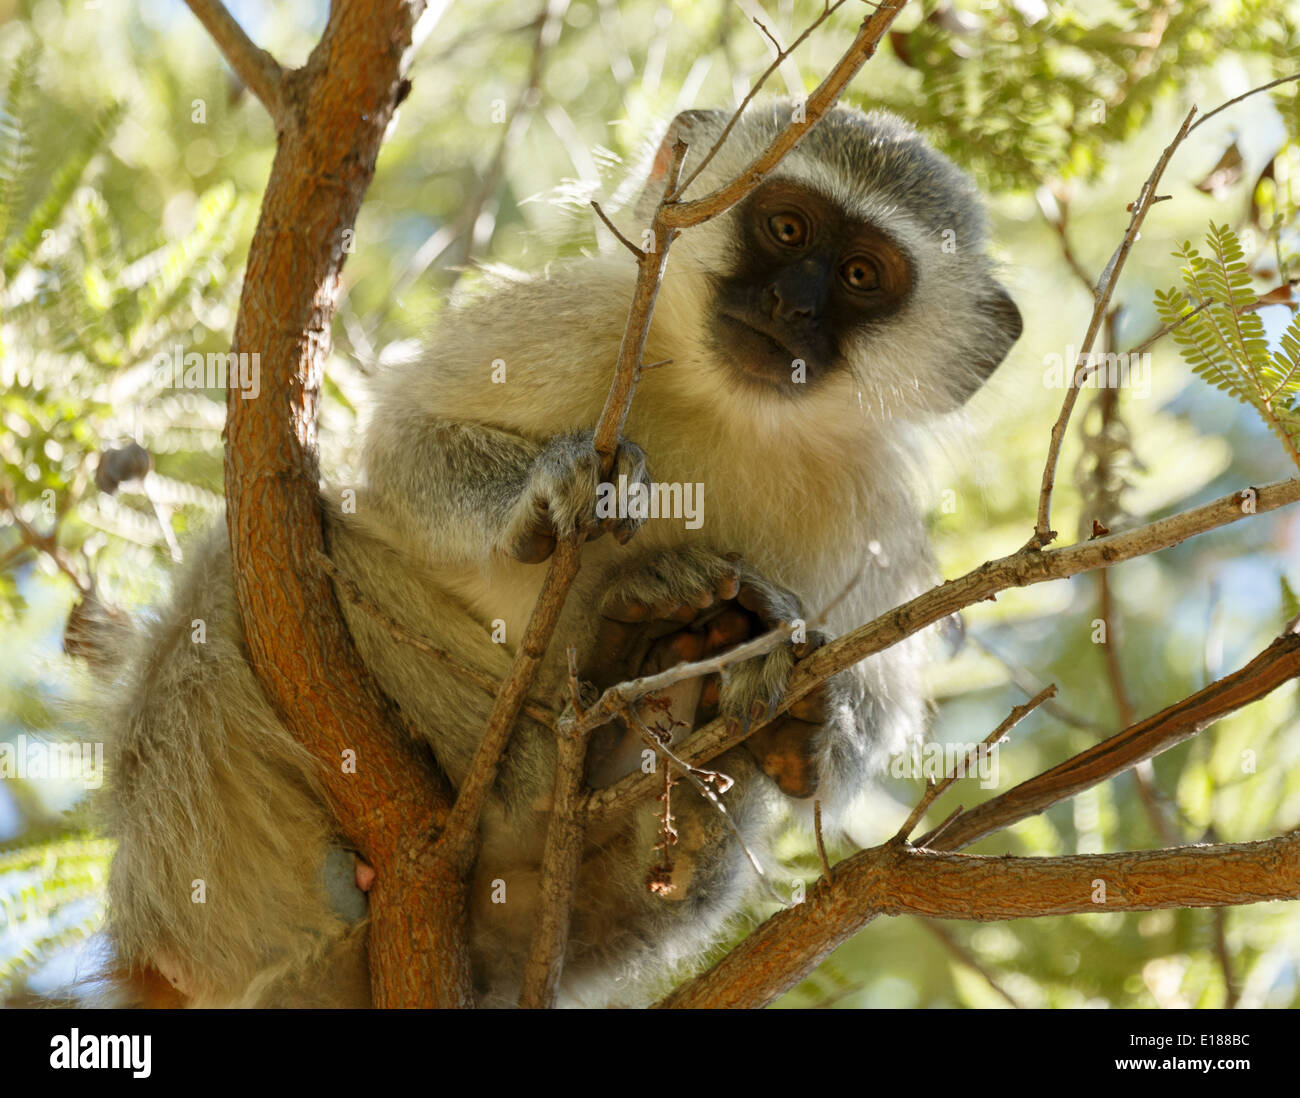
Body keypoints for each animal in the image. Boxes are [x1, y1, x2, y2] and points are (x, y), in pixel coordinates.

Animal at [98, 101, 1022, 1008]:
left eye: (863, 275)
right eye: (787, 227)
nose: (789, 305)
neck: (729, 406)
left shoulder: (869, 494)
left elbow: (882, 681)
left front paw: (802, 702)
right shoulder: (580, 323)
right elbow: (400, 451)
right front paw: (546, 489)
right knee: (250, 575)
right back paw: (546, 757)